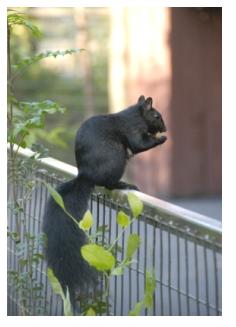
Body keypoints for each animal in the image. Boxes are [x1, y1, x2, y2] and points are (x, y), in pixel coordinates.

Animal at [42, 94, 168, 308]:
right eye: (156, 116)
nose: (165, 129)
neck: (135, 115)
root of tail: (86, 175)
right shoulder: (133, 129)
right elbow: (139, 144)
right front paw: (161, 139)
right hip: (117, 157)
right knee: (109, 183)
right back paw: (124, 184)